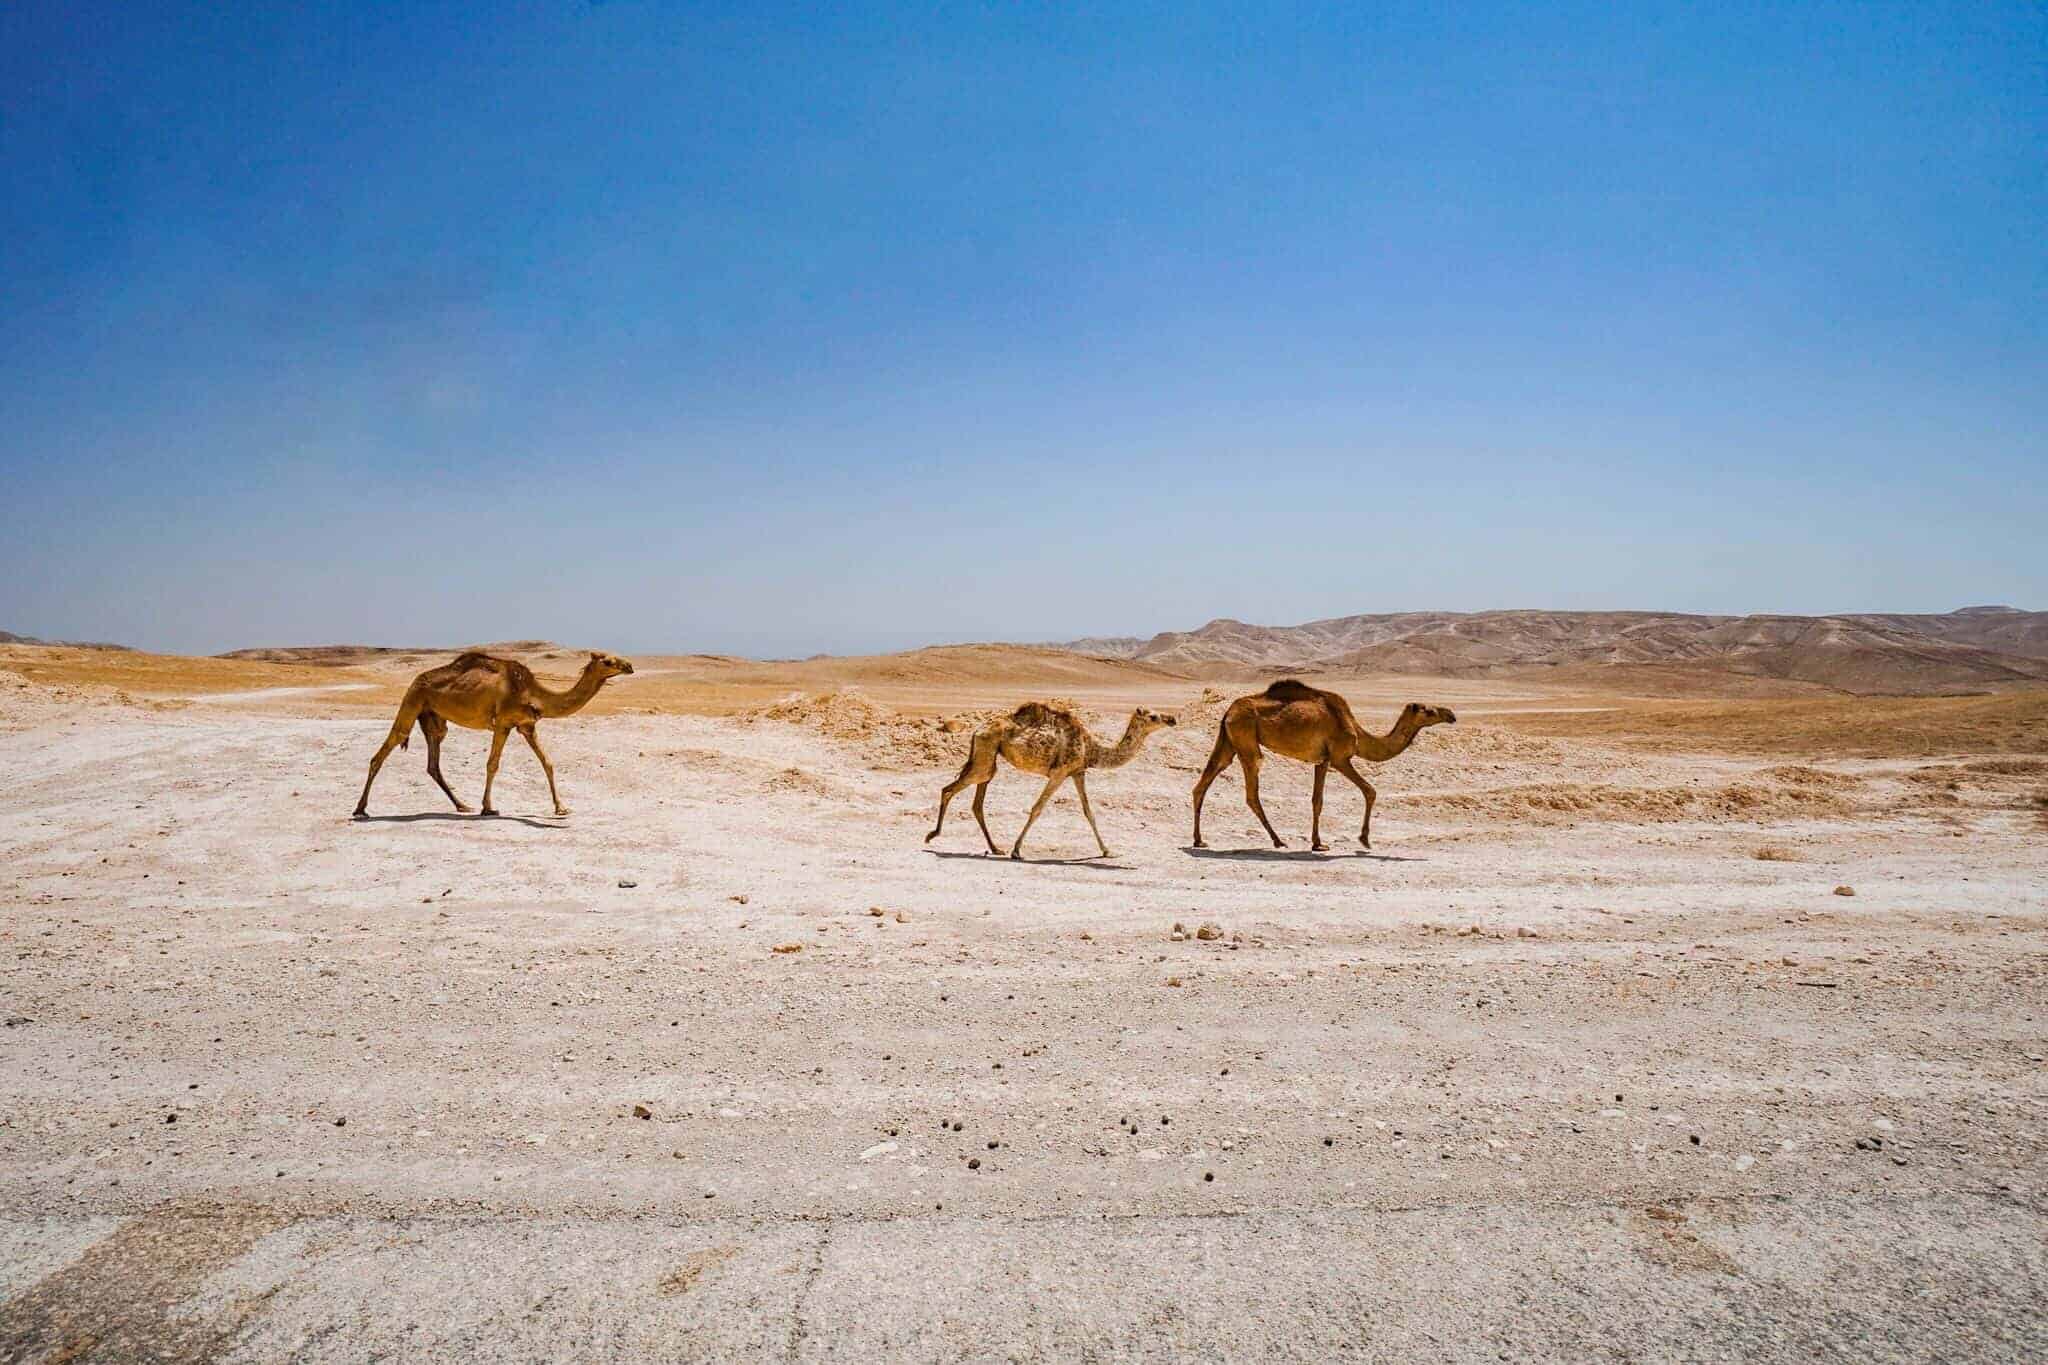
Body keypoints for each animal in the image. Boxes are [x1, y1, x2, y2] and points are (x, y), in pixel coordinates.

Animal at [350, 654, 630, 822]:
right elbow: (492, 764)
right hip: (412, 700)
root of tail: (416, 679)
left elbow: (547, 763)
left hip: (434, 719)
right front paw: (488, 807)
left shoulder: (527, 726)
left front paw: (561, 808)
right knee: (386, 749)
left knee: (433, 763)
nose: (629, 665)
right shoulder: (503, 723)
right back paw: (360, 809)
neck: (532, 692)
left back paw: (462, 806)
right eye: (607, 660)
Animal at [925, 699, 1179, 859]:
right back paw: (932, 836)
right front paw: (1017, 851)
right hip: (985, 755)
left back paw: (996, 849)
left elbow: (1089, 812)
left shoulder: (1077, 772)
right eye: (1153, 716)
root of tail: (977, 729)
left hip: (988, 759)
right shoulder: (1059, 772)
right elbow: (1037, 808)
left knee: (977, 803)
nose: (1172, 719)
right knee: (949, 789)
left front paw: (1108, 851)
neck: (1091, 748)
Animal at [1187, 683, 1458, 855]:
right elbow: (1369, 791)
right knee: (1251, 792)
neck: (1356, 730)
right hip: (1246, 741)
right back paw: (1278, 841)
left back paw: (1199, 840)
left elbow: (1317, 800)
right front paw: (1364, 840)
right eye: (1429, 710)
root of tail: (1227, 711)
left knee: (1203, 782)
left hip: (1229, 742)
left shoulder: (1322, 761)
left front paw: (1318, 843)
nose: (1451, 714)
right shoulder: (1339, 758)